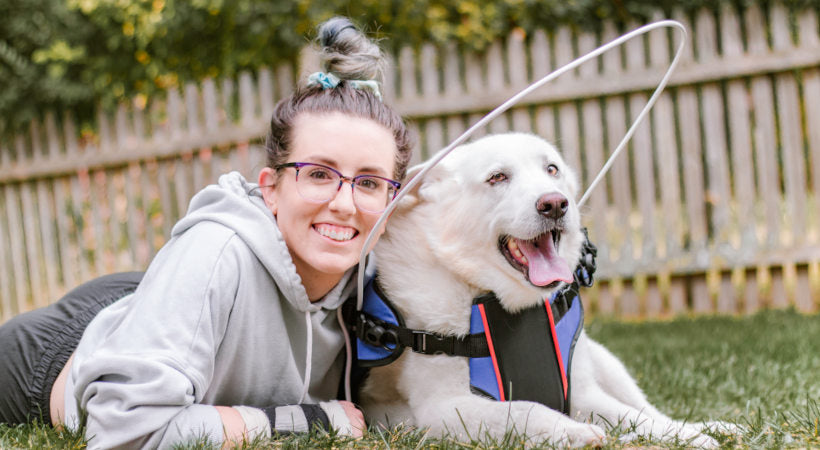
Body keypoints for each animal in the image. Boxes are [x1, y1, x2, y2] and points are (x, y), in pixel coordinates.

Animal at [358, 133, 724, 446]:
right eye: (497, 177)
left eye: (552, 169)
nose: (555, 204)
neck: (504, 301)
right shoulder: (446, 408)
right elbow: (527, 409)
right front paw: (573, 432)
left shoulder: (582, 393)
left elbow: (634, 416)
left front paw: (687, 437)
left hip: (607, 362)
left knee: (647, 408)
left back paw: (708, 426)